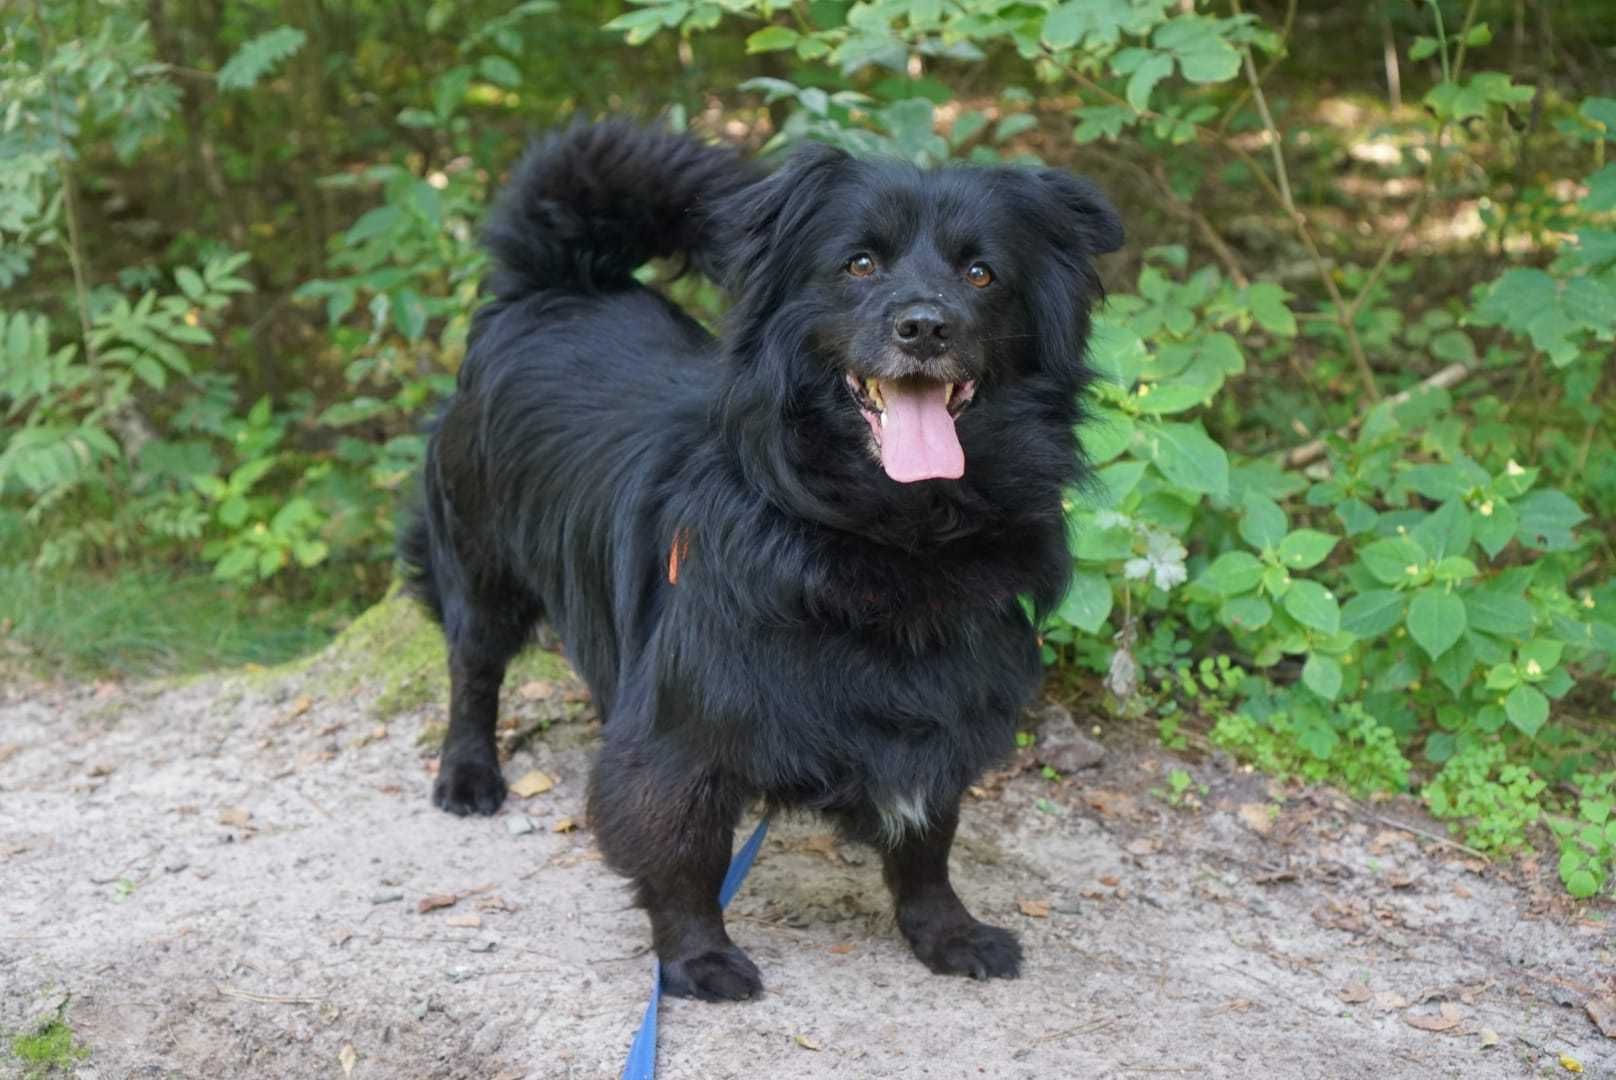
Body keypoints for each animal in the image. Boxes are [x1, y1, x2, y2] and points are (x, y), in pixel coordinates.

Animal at [397, 122, 1118, 1002]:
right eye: (859, 264)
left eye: (981, 273)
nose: (924, 326)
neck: (887, 533)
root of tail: (554, 283)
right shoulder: (684, 731)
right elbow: (680, 853)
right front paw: (696, 957)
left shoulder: (944, 706)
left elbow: (927, 846)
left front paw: (946, 933)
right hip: (478, 559)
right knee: (472, 670)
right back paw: (468, 775)